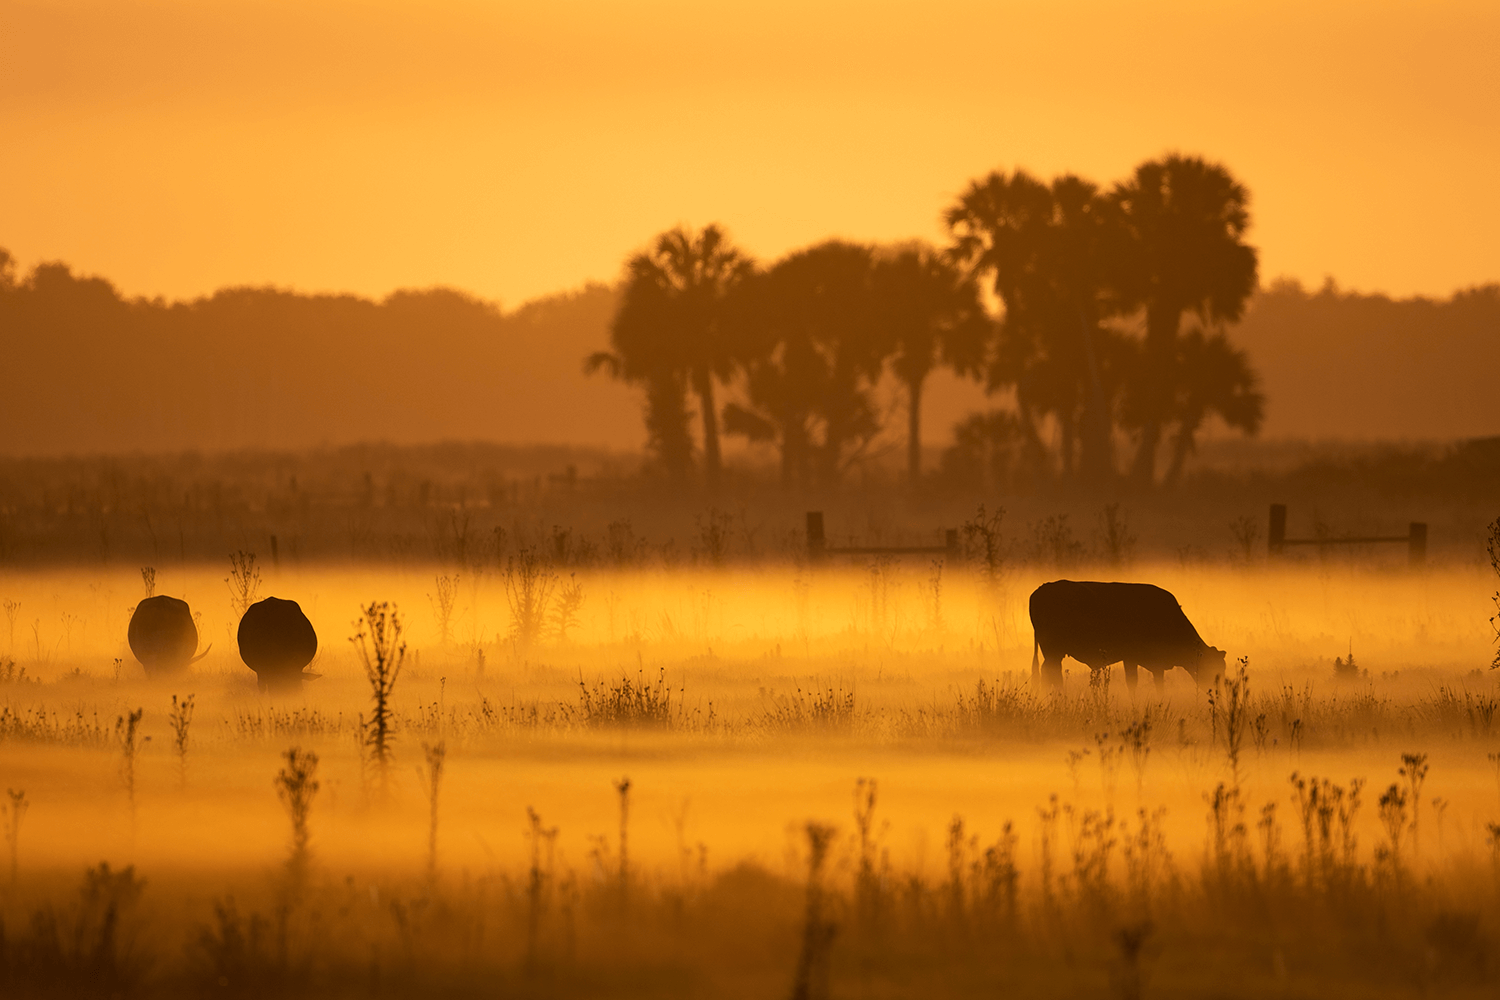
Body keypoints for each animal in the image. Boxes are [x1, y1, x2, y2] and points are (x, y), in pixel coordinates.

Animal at [1032, 581, 1230, 692]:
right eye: (1212, 670)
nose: (1217, 694)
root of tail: (1041, 589)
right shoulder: (1131, 658)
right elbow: (1134, 683)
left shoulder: (1153, 663)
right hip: (1053, 652)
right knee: (1053, 675)